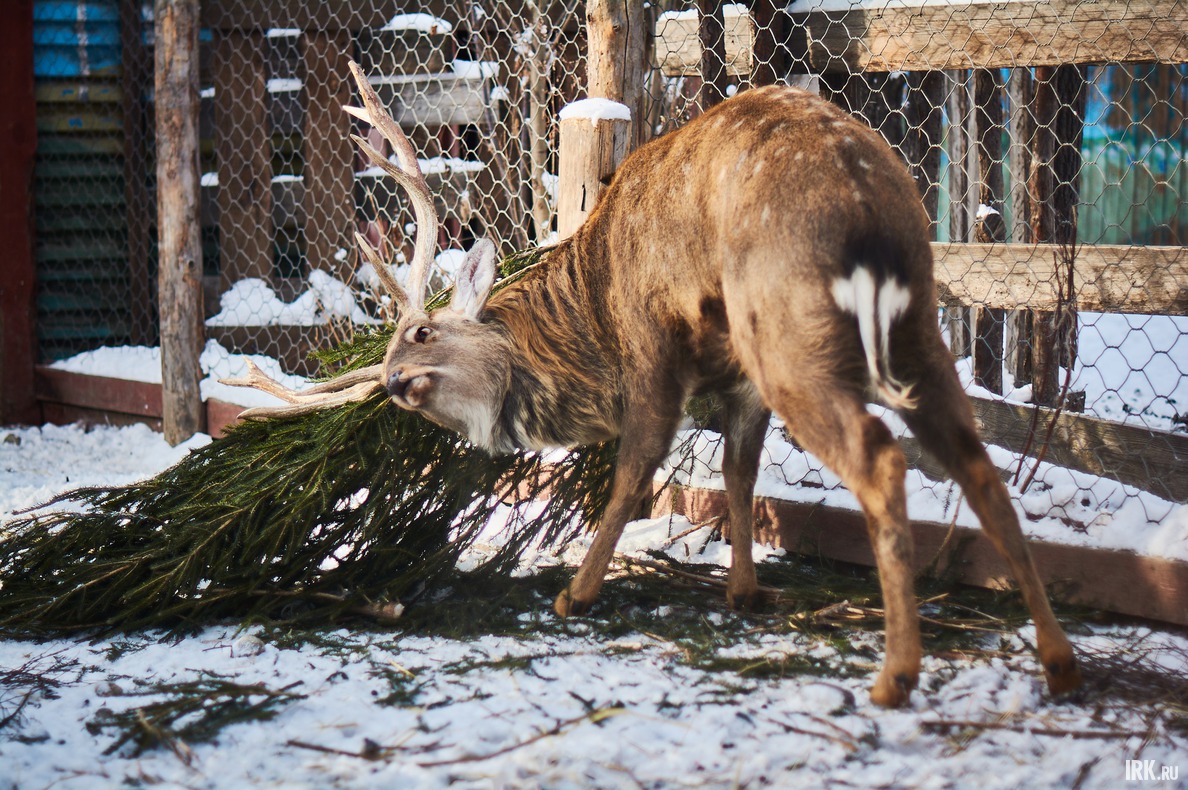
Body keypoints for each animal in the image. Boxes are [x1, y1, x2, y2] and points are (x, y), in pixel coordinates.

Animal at [225, 62, 1081, 708]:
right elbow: (738, 476)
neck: (590, 304)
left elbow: (635, 469)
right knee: (978, 463)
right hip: (916, 327)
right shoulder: (738, 385)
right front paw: (743, 591)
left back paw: (896, 676)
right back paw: (1059, 661)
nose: (397, 384)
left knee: (881, 456)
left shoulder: (652, 344)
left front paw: (575, 593)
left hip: (789, 326)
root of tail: (865, 196)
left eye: (423, 334)